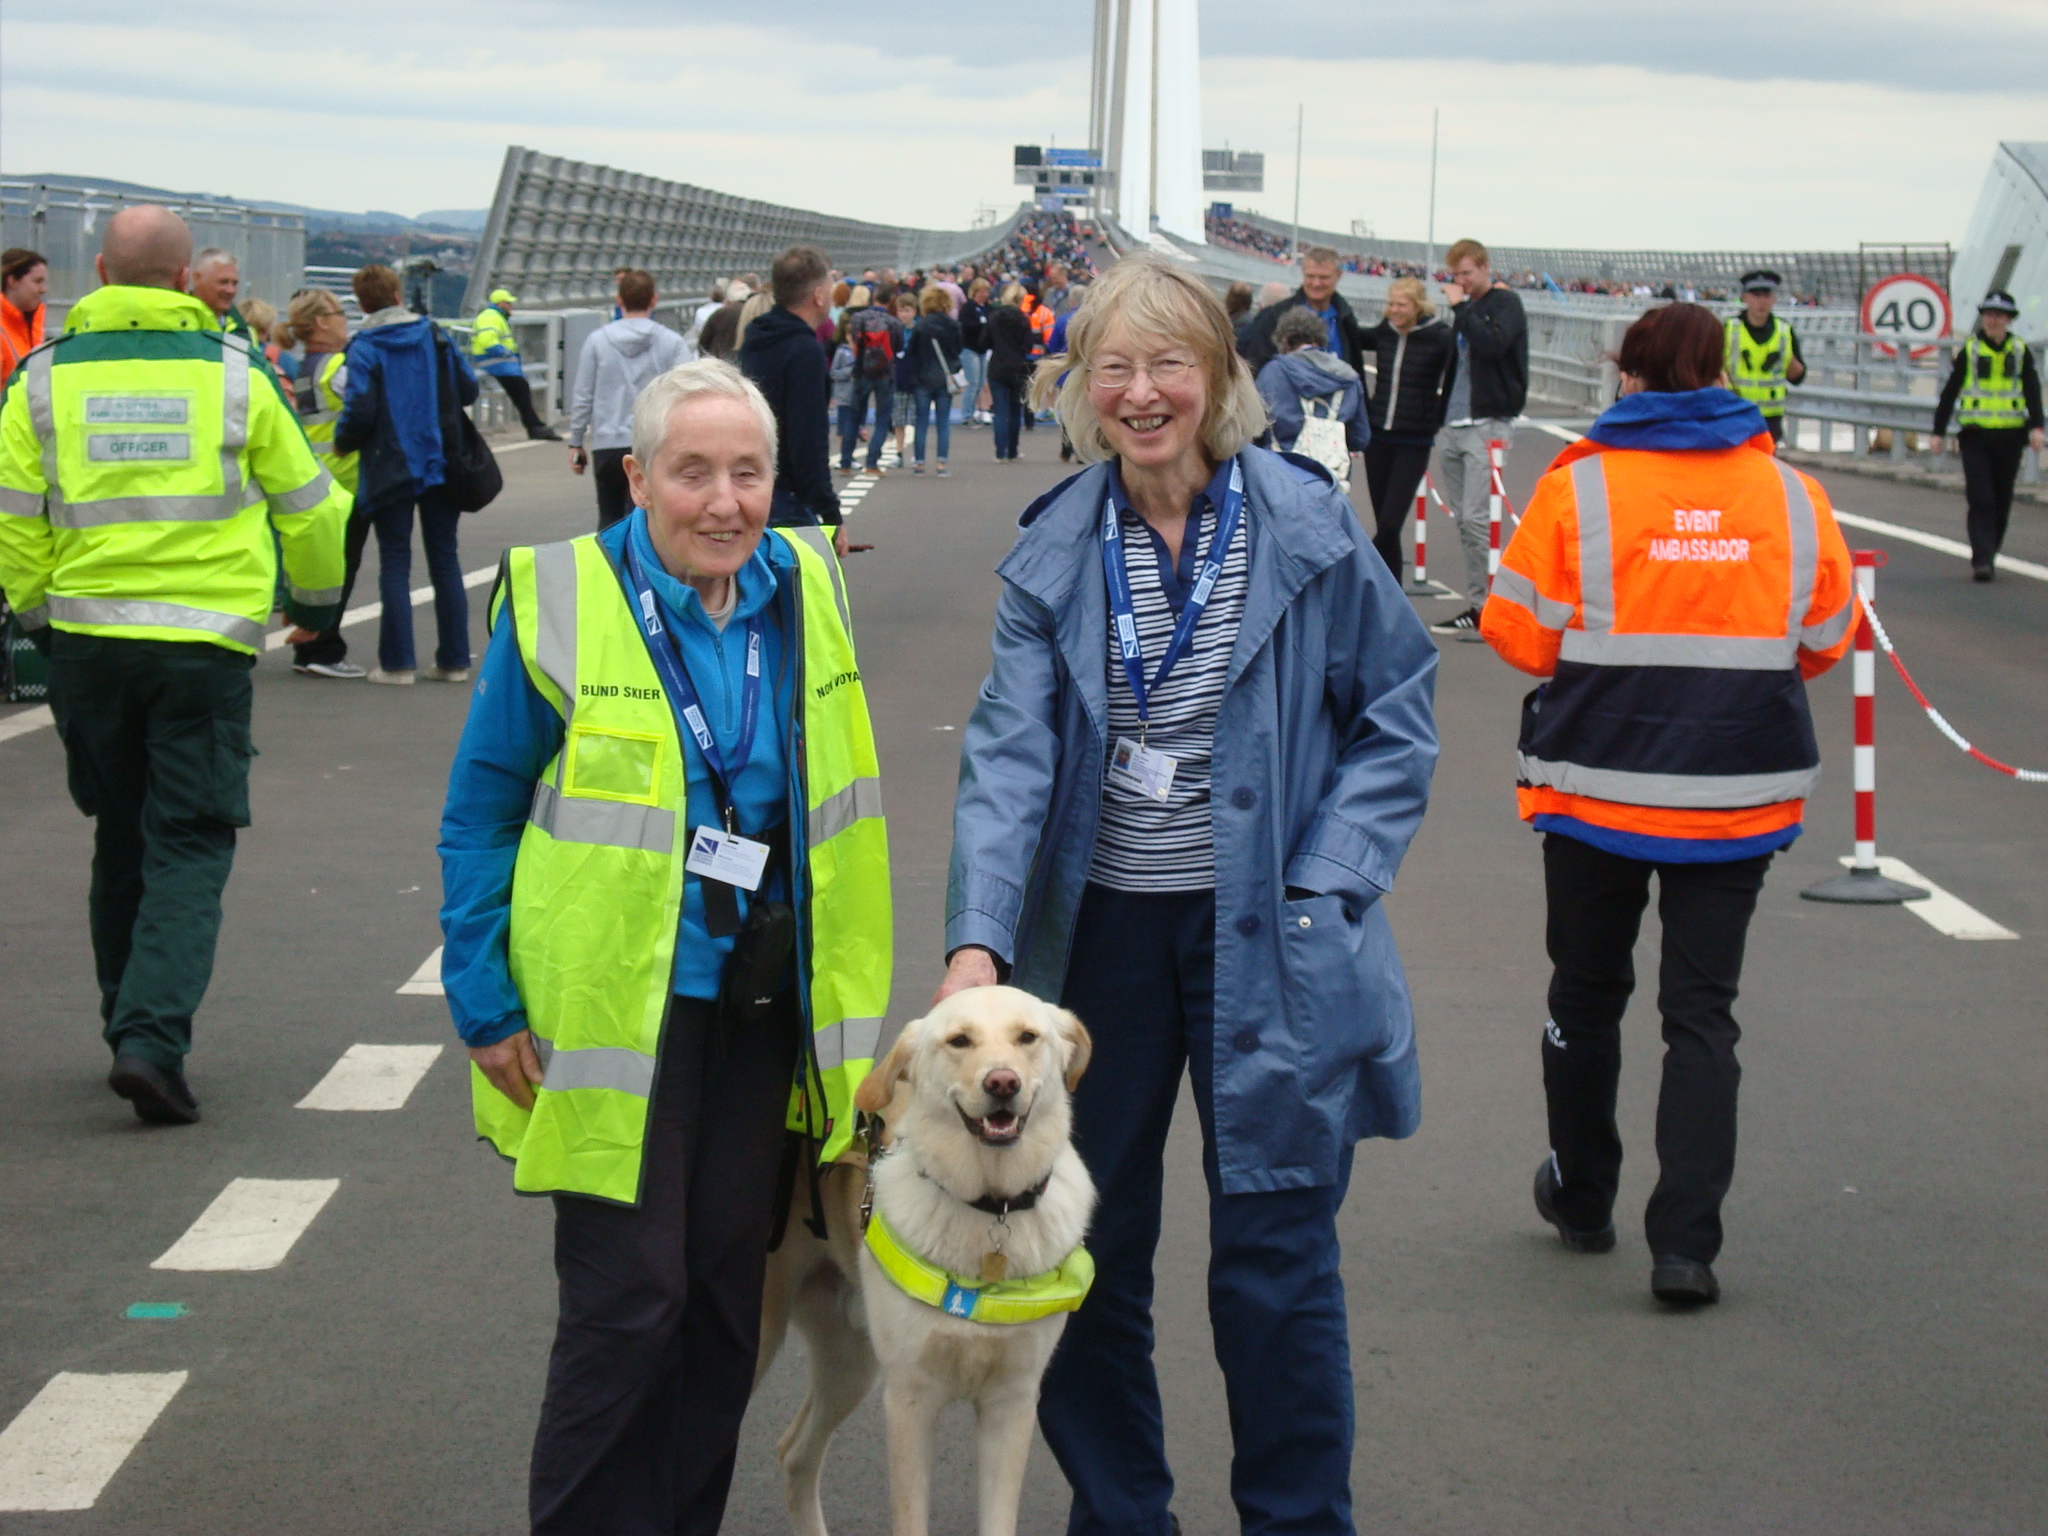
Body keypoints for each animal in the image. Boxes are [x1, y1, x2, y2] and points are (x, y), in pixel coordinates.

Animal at [753, 987, 1097, 1536]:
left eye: (1027, 1036)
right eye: (959, 1040)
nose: (1003, 1082)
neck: (989, 1208)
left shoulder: (1012, 1403)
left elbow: (998, 1521)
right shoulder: (910, 1400)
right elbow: (911, 1518)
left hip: (849, 1363)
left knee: (795, 1452)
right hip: (763, 1341)